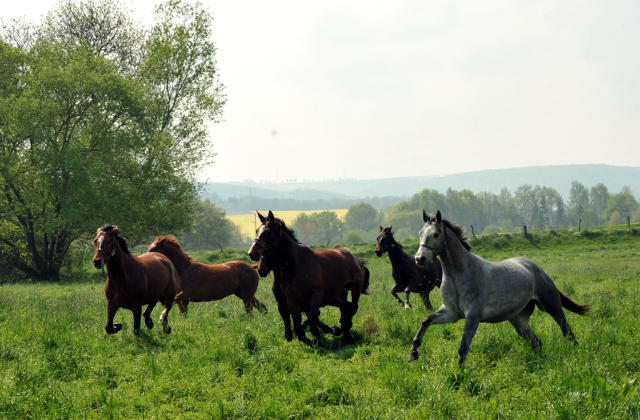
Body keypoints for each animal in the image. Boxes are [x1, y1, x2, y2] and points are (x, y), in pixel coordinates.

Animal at [250, 210, 370, 344]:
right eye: (257, 230)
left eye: (269, 231)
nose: (252, 253)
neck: (296, 265)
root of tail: (355, 258)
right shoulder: (291, 301)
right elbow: (297, 327)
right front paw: (311, 340)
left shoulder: (315, 295)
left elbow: (313, 316)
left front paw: (320, 333)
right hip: (332, 296)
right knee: (347, 307)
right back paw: (344, 330)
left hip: (355, 288)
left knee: (353, 306)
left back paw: (346, 330)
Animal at [410, 209, 592, 364]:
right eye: (420, 233)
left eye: (436, 234)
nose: (420, 259)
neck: (460, 275)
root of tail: (536, 268)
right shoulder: (452, 313)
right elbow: (426, 321)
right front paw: (413, 353)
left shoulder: (473, 316)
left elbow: (463, 347)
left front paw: (459, 376)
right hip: (518, 321)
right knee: (536, 341)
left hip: (551, 306)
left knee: (567, 331)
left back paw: (575, 354)